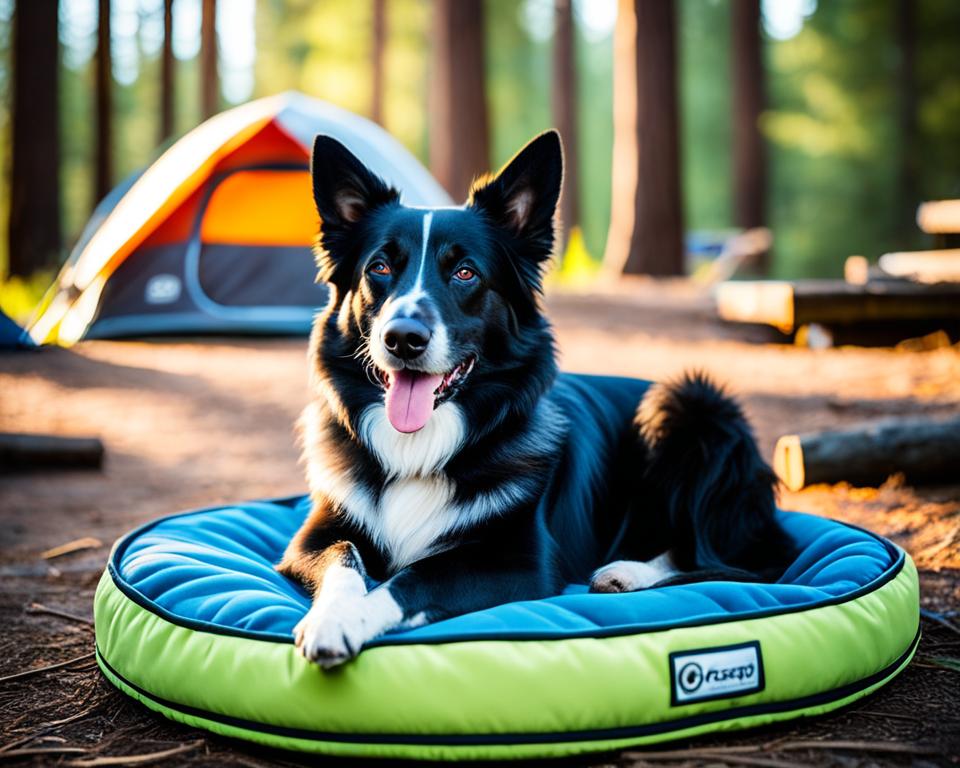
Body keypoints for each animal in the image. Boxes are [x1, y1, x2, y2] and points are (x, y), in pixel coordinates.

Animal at [278, 130, 796, 664]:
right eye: (379, 267)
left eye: (465, 273)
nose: (402, 338)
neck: (423, 446)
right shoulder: (312, 538)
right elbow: (345, 560)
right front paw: (333, 616)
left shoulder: (518, 563)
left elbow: (412, 578)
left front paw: (351, 619)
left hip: (690, 403)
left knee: (743, 558)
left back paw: (627, 572)